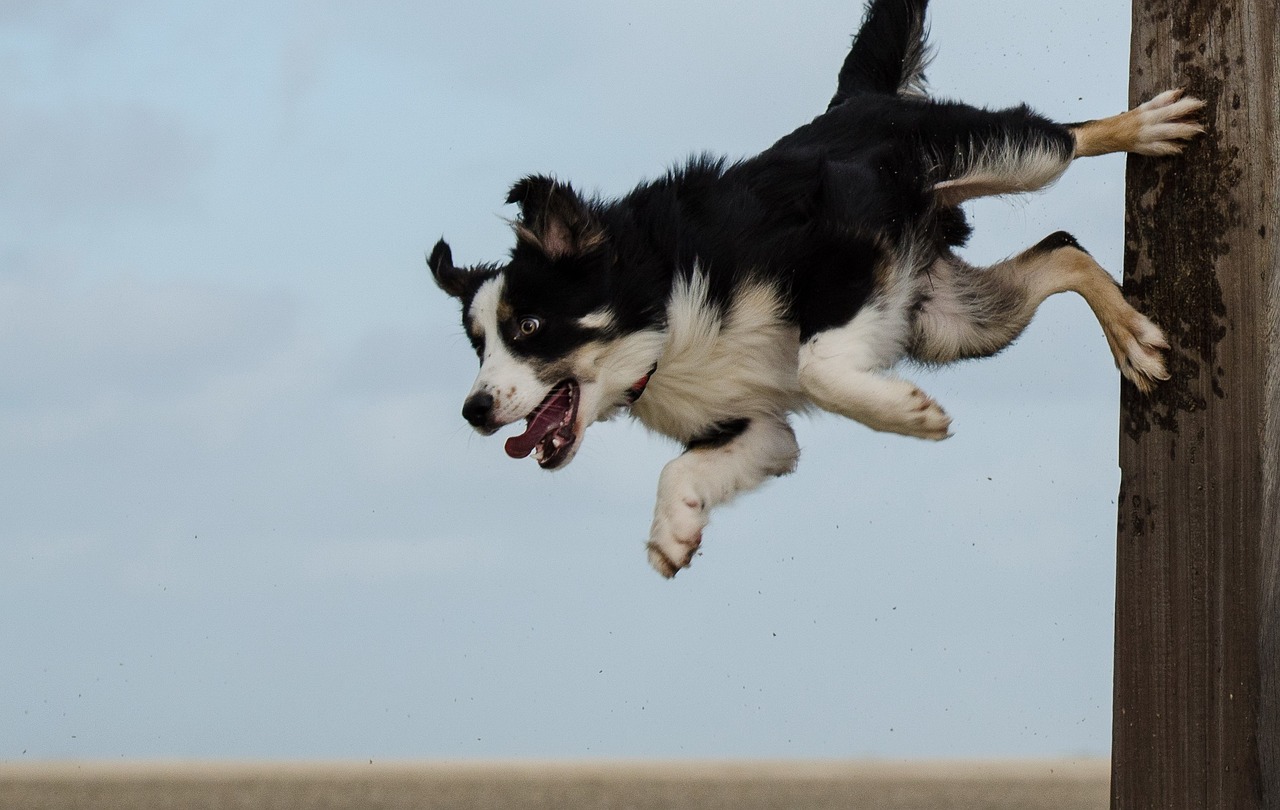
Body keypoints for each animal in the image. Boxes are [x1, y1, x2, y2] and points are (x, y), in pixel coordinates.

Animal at [427, 0, 1198, 575]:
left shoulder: (843, 242)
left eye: (529, 327)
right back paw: (1132, 340)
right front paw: (673, 530)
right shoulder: (756, 426)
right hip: (955, 323)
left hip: (991, 156)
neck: (662, 313)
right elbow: (689, 467)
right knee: (1063, 251)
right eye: (476, 347)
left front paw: (907, 413)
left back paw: (1147, 125)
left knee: (1063, 137)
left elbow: (818, 366)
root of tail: (856, 98)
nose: (473, 410)